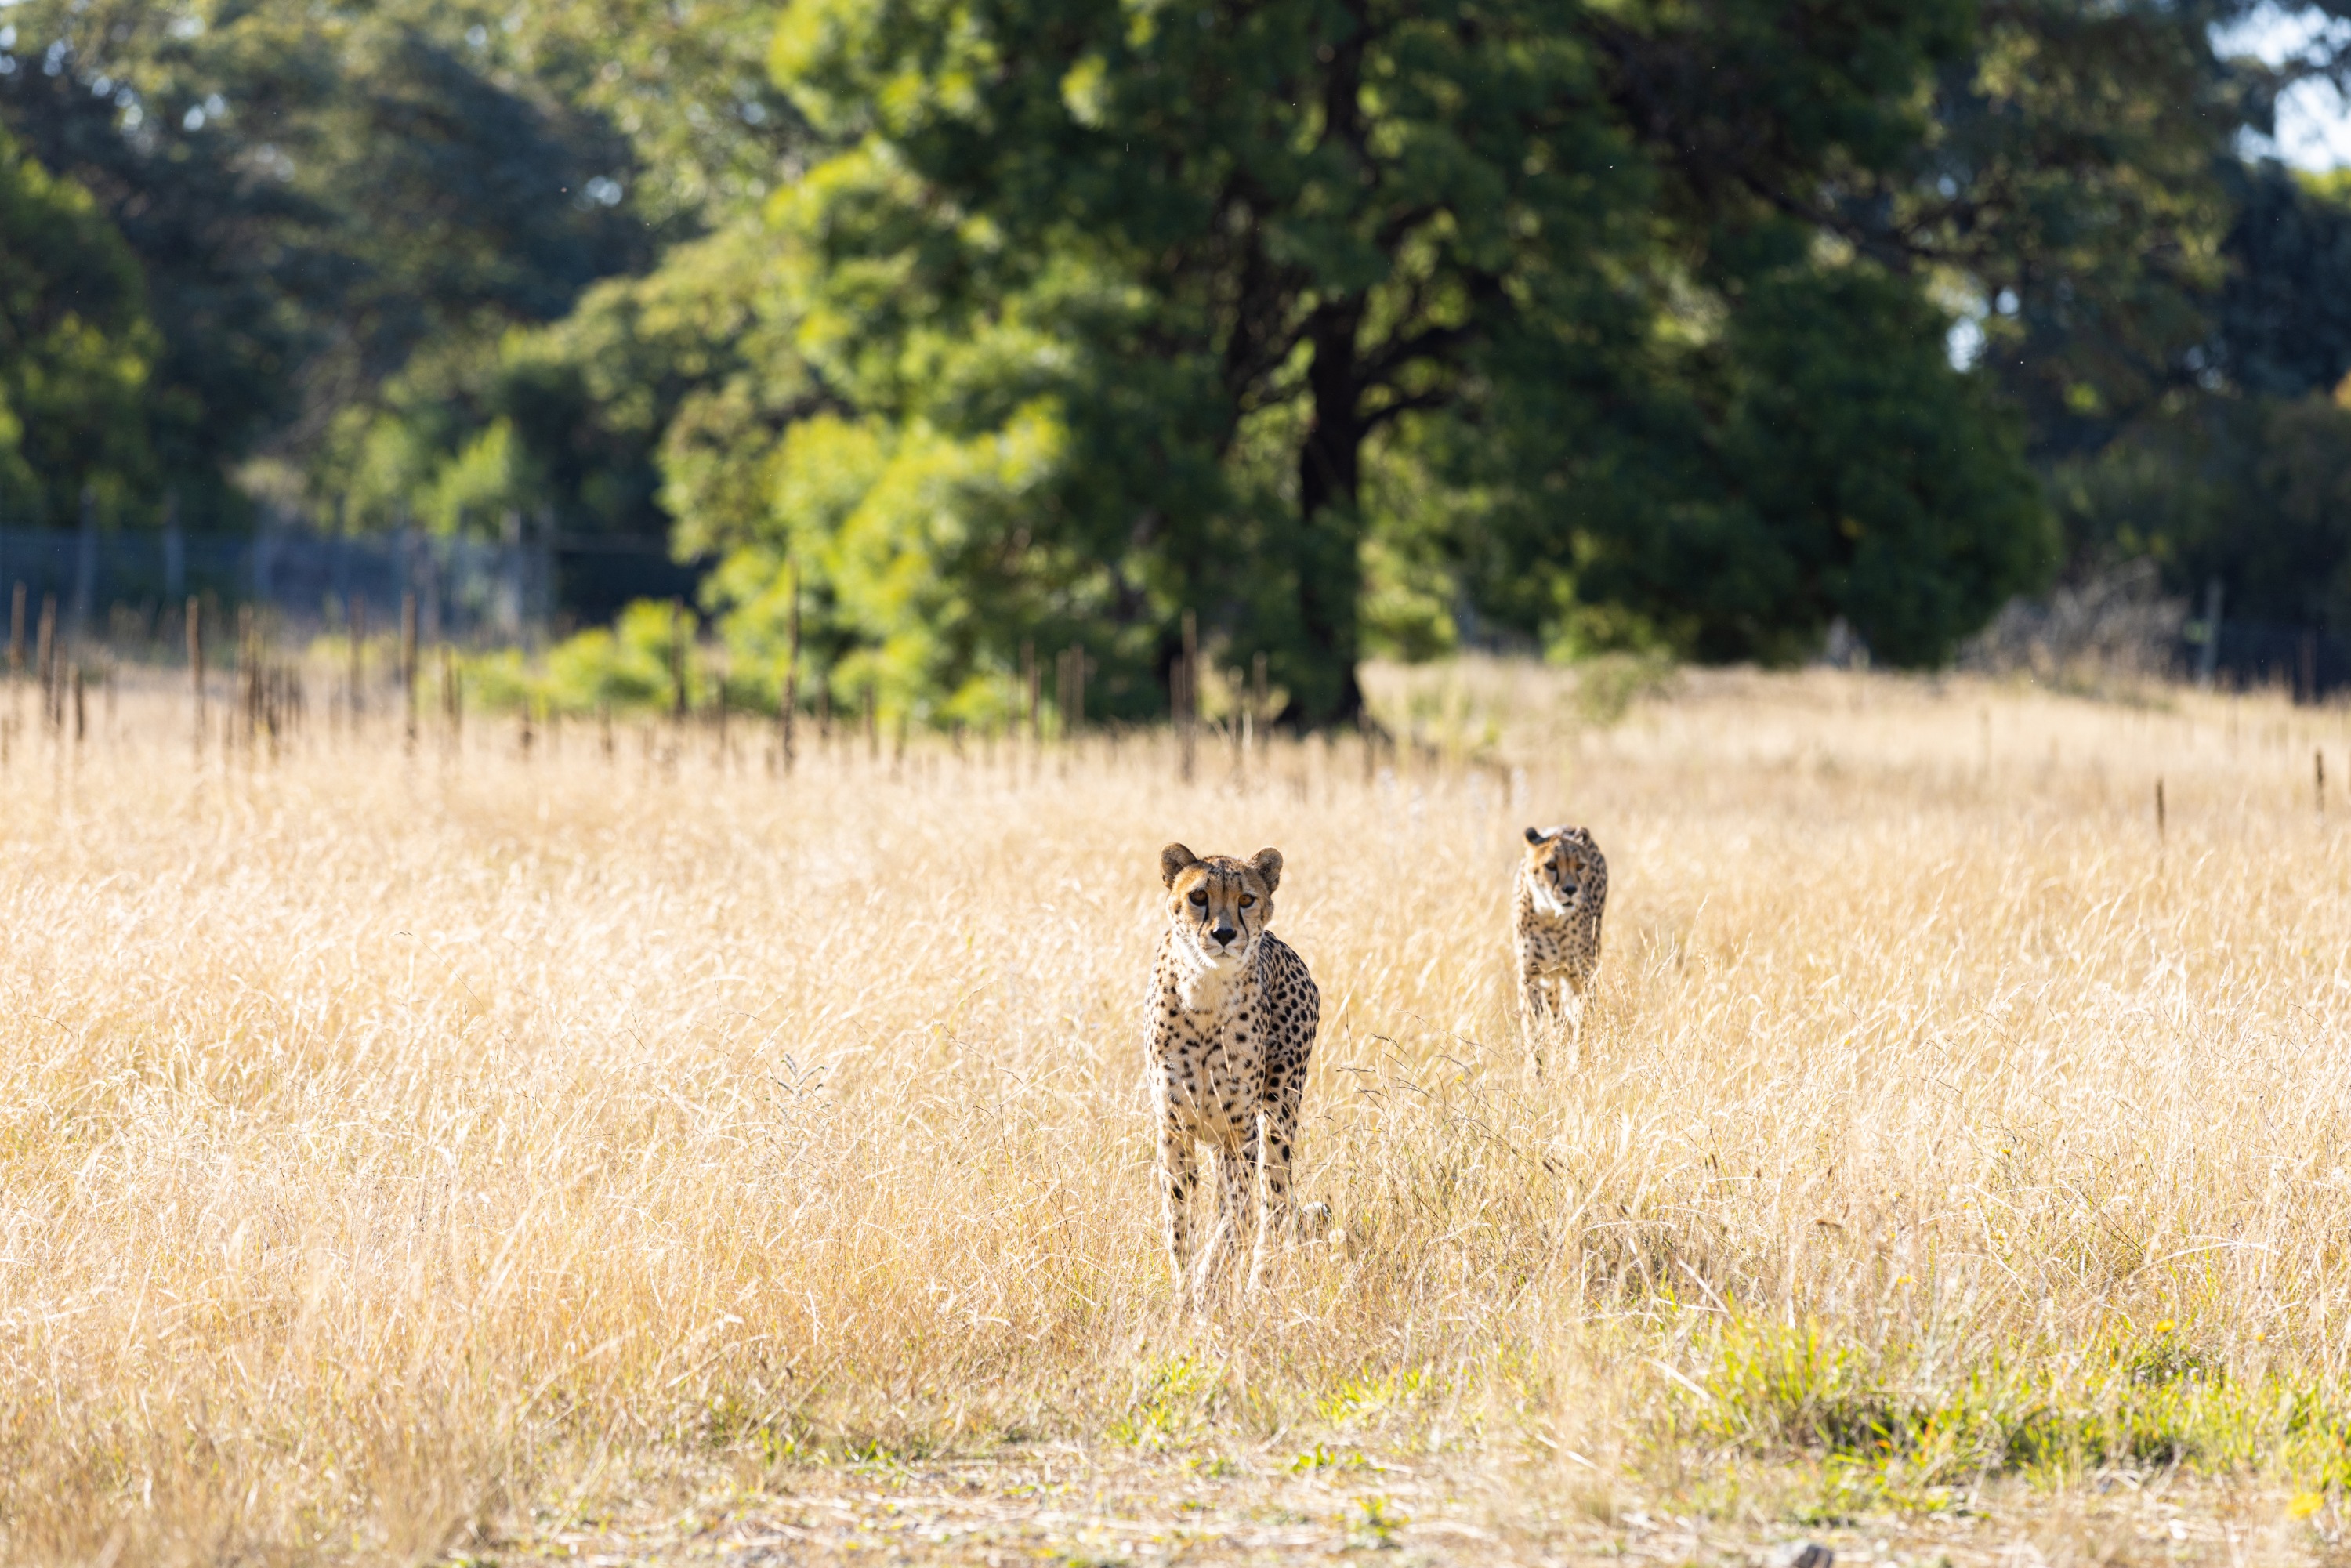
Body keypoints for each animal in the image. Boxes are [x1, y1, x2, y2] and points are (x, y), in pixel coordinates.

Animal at [1143, 846, 1317, 1298]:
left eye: (1246, 899)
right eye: (1199, 896)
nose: (1223, 934)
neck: (1206, 991)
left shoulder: (1242, 1135)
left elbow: (1234, 1219)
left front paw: (1208, 1284)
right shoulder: (1175, 1130)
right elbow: (1180, 1222)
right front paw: (1186, 1290)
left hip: (1279, 1116)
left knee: (1273, 1203)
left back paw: (1258, 1286)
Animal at [1514, 823, 1608, 1067]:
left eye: (1580, 866)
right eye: (1551, 865)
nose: (1570, 890)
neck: (1551, 918)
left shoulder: (1581, 978)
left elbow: (1581, 1027)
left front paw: (1575, 1064)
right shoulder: (1530, 979)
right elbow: (1533, 1035)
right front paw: (1537, 1073)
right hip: (1551, 981)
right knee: (1558, 1018)